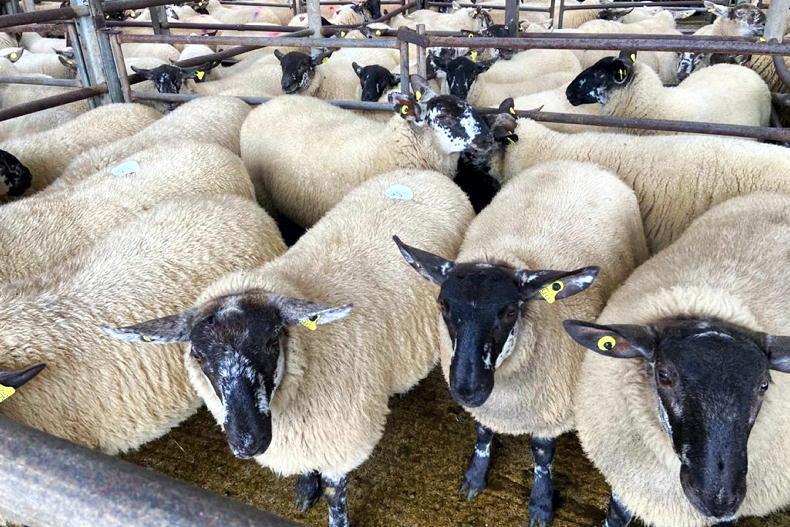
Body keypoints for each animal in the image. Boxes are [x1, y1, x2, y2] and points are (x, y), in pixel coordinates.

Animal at [103, 169, 474, 527]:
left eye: (271, 341)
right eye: (199, 355)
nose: (247, 442)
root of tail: (420, 173)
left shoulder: (341, 442)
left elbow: (335, 498)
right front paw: (305, 490)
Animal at [395, 160, 647, 526]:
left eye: (511, 310)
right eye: (443, 305)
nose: (467, 388)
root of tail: (578, 163)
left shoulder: (549, 412)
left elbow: (542, 457)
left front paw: (541, 505)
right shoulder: (488, 408)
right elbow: (483, 434)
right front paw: (475, 476)